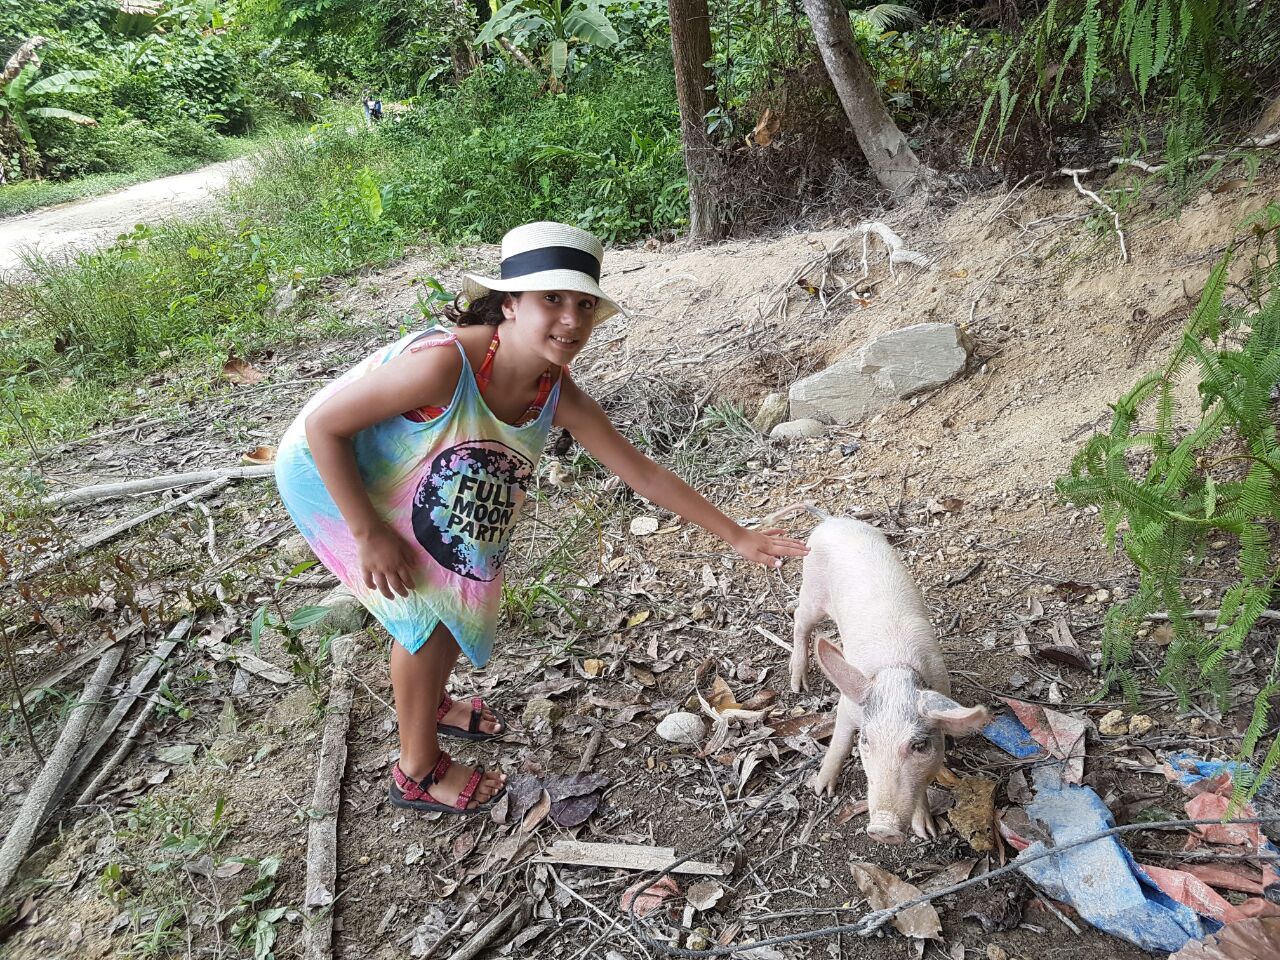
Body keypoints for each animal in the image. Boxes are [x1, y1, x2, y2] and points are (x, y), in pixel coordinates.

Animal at [779, 505, 991, 844]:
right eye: (866, 740)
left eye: (918, 746)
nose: (882, 829)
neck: (895, 671)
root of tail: (830, 520)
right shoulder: (849, 704)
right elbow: (839, 743)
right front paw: (821, 789)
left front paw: (928, 831)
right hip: (811, 587)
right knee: (800, 619)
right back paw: (799, 685)